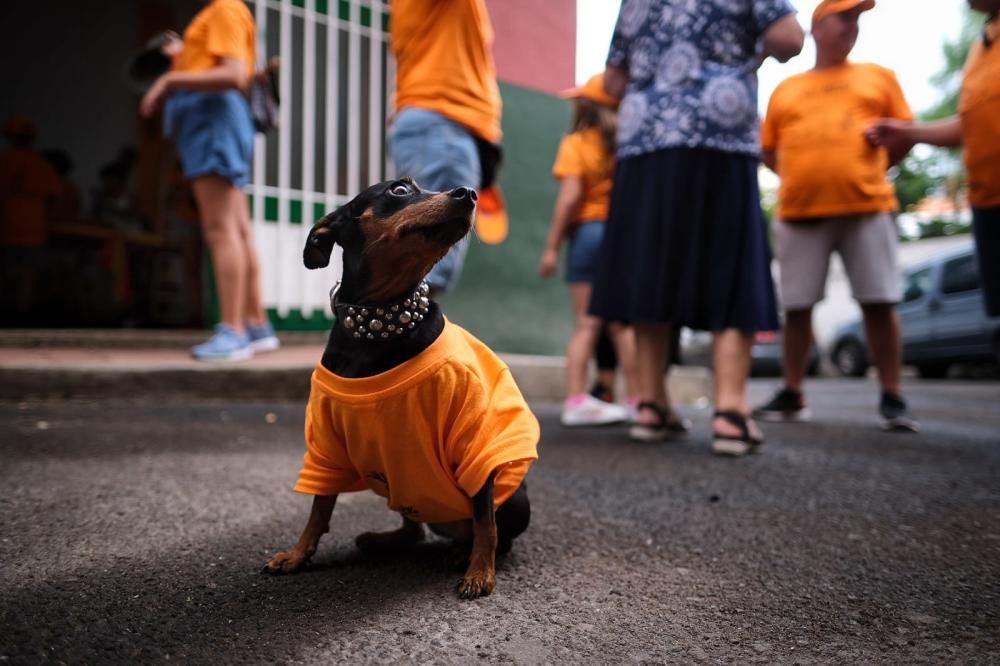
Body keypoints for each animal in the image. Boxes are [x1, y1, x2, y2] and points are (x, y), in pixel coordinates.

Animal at [260, 178, 540, 596]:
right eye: (399, 191)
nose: (469, 193)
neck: (380, 324)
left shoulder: (474, 444)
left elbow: (485, 522)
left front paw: (480, 573)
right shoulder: (326, 445)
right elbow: (319, 507)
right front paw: (296, 555)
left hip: (515, 499)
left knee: (488, 529)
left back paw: (461, 552)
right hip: (403, 486)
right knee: (415, 529)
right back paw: (386, 540)